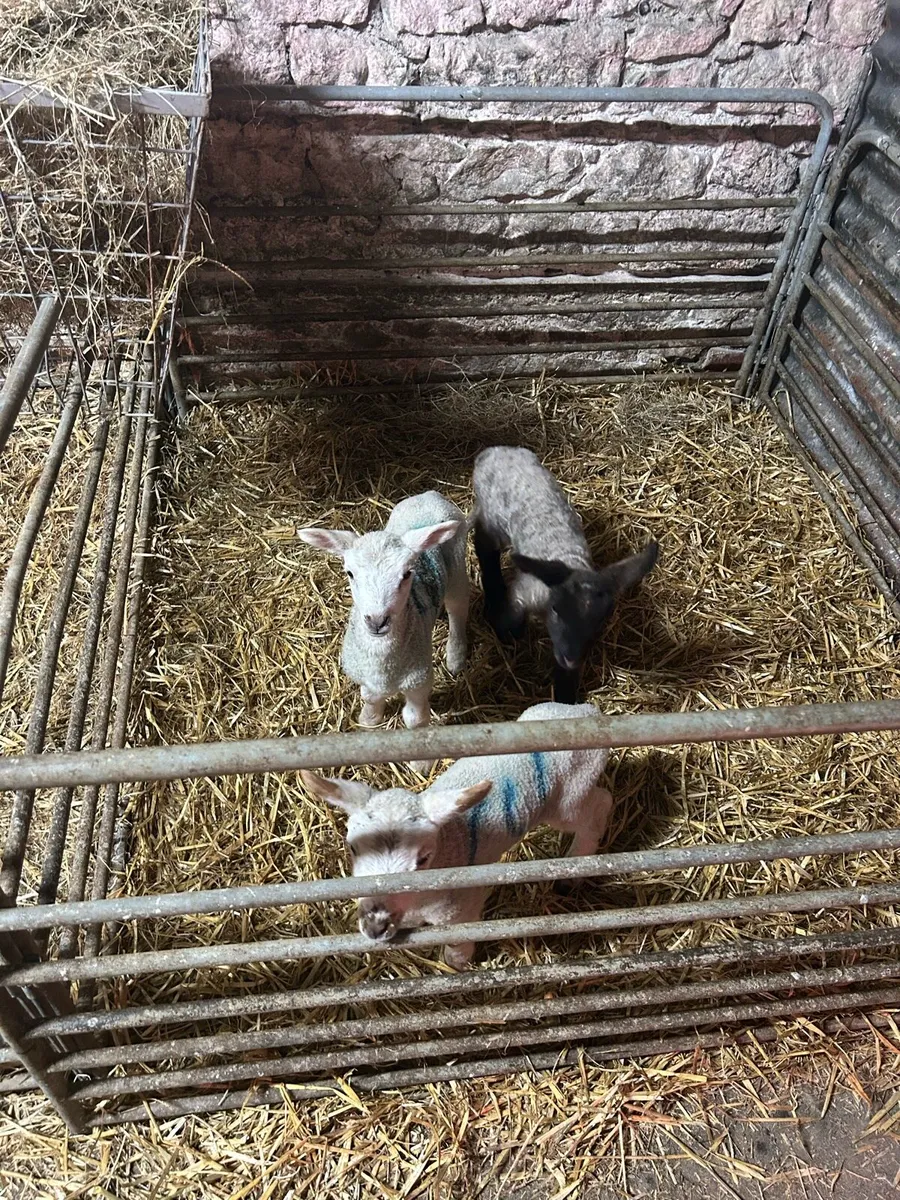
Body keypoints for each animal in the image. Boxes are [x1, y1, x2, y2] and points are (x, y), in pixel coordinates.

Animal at [297, 491, 469, 769]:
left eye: (407, 574)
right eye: (350, 573)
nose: (377, 621)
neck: (383, 665)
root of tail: (429, 494)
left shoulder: (419, 680)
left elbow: (415, 720)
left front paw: (422, 762)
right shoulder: (364, 673)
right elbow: (369, 696)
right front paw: (369, 720)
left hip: (457, 563)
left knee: (458, 609)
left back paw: (456, 655)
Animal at [301, 700, 613, 968]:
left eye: (423, 859)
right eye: (353, 848)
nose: (375, 926)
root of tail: (588, 711)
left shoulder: (463, 907)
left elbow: (458, 941)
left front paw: (457, 963)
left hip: (570, 798)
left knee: (599, 807)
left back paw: (575, 868)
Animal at [471, 446, 658, 704]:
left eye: (600, 621)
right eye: (556, 609)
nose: (570, 657)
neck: (570, 561)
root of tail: (494, 450)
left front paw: (565, 697)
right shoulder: (526, 593)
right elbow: (512, 616)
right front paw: (507, 634)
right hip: (493, 517)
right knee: (483, 543)